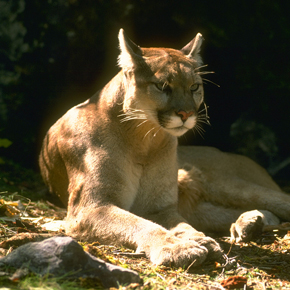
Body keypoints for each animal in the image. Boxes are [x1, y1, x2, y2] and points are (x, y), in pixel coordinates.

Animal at [39, 29, 290, 268]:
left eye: (194, 87)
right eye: (162, 86)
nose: (186, 114)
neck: (143, 139)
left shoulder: (158, 207)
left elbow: (177, 225)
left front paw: (196, 241)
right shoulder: (91, 207)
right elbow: (140, 224)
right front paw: (179, 248)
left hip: (226, 184)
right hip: (204, 206)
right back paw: (248, 224)